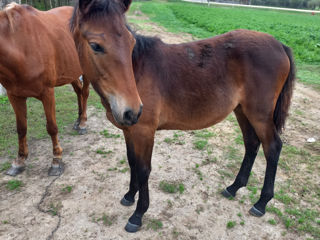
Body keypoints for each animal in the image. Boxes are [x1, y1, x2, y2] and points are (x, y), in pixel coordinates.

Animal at [0, 3, 90, 176]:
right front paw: (20, 160)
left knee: (85, 93)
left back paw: (82, 123)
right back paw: (78, 120)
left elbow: (52, 128)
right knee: (79, 91)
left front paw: (56, 160)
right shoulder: (14, 95)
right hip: (71, 71)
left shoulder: (47, 93)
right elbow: (21, 128)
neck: (20, 46)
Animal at [70, 0, 296, 232]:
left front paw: (138, 215)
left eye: (131, 43)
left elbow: (143, 169)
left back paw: (261, 203)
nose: (132, 109)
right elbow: (132, 162)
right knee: (251, 144)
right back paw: (233, 188)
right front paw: (129, 196)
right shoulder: (129, 129)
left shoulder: (144, 131)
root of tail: (279, 45)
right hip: (242, 110)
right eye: (95, 45)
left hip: (259, 114)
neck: (137, 70)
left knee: (272, 148)